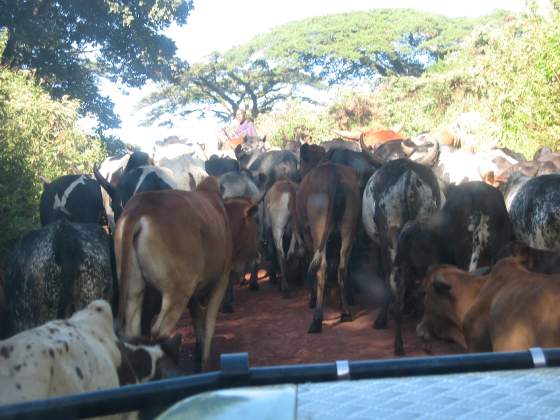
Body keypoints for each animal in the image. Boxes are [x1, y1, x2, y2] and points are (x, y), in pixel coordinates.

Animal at [116, 177, 260, 370]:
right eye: (256, 223)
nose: (258, 254)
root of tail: (140, 207)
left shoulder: (194, 293)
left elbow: (198, 323)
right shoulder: (220, 281)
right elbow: (208, 324)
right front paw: (205, 363)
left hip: (134, 289)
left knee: (132, 331)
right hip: (177, 293)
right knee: (159, 331)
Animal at [296, 162, 360, 334]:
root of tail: (335, 177)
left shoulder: (307, 234)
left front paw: (313, 298)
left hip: (318, 228)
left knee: (321, 267)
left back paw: (317, 319)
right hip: (349, 227)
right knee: (342, 267)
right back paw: (345, 311)